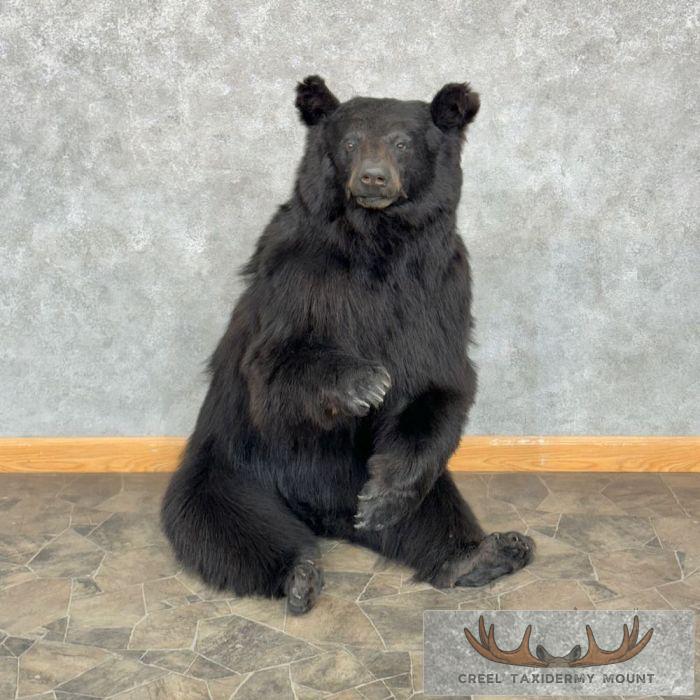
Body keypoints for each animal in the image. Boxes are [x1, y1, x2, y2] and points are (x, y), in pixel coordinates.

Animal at [161, 76, 534, 614]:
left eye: (402, 142)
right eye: (351, 142)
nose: (373, 179)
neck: (376, 244)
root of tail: (320, 514)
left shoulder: (440, 287)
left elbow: (442, 378)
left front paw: (385, 497)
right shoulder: (298, 276)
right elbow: (273, 365)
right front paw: (364, 383)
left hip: (374, 474)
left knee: (432, 509)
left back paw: (481, 554)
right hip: (230, 469)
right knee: (225, 528)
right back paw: (298, 573)